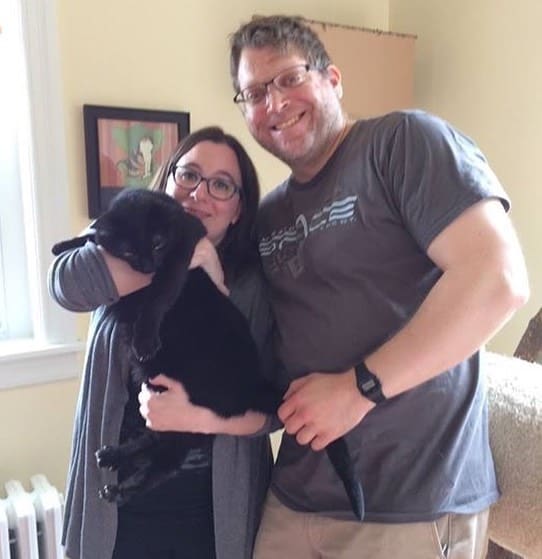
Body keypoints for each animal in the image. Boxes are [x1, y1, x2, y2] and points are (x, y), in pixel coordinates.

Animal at [52, 188, 366, 520]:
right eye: (128, 252)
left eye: (158, 243)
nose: (148, 265)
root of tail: (253, 385)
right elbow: (93, 238)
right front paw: (65, 244)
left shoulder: (183, 247)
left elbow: (159, 293)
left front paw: (145, 337)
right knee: (156, 438)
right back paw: (114, 455)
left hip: (189, 408)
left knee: (169, 460)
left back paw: (119, 489)